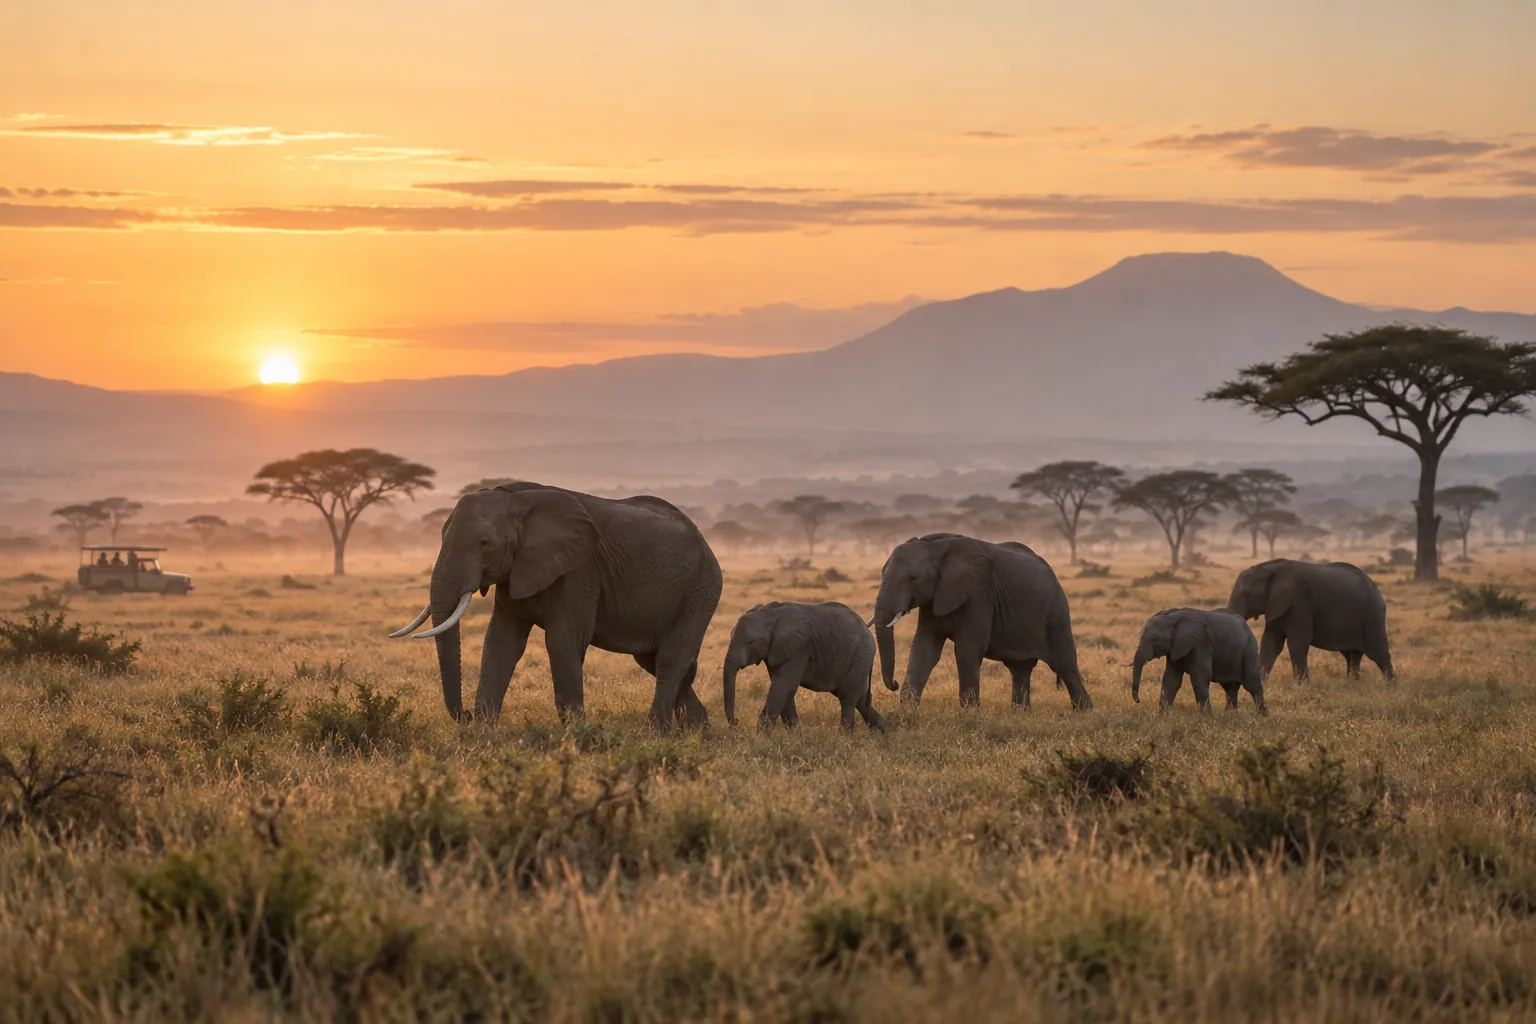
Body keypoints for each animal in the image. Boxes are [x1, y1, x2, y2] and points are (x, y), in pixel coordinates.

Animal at [390, 482, 722, 729]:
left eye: (485, 544)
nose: (466, 717)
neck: (516, 500)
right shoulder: (517, 571)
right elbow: (500, 642)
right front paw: (482, 735)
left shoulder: (579, 571)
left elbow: (563, 641)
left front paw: (577, 737)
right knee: (653, 660)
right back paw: (697, 731)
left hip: (701, 590)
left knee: (669, 659)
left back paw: (656, 733)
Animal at [722, 601, 884, 733]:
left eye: (752, 642)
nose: (735, 721)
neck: (769, 613)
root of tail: (867, 629)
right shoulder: (778, 650)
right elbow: (785, 691)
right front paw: (795, 739)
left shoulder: (799, 648)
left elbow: (782, 687)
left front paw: (762, 739)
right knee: (861, 699)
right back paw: (879, 736)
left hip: (861, 654)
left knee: (847, 698)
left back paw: (844, 738)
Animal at [871, 533, 1092, 710]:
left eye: (912, 578)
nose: (894, 683)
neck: (935, 546)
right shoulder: (935, 599)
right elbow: (924, 649)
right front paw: (907, 713)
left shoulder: (978, 595)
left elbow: (967, 650)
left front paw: (969, 716)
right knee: (1020, 669)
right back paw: (1020, 715)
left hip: (1056, 613)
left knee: (1065, 665)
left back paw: (1084, 713)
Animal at [1131, 607, 1269, 715]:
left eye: (1155, 639)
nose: (1138, 701)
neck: (1173, 617)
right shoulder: (1174, 648)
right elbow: (1171, 680)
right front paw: (1161, 716)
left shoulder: (1201, 643)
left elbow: (1199, 677)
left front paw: (1206, 718)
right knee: (1229, 687)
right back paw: (1229, 717)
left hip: (1249, 649)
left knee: (1252, 684)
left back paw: (1262, 717)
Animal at [1227, 558, 1394, 683]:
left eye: (1247, 594)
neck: (1269, 569)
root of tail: (1376, 589)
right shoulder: (1275, 606)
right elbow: (1271, 644)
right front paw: (1262, 682)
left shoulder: (1300, 602)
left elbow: (1297, 643)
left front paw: (1301, 686)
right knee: (1352, 656)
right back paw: (1352, 684)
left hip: (1372, 616)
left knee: (1379, 654)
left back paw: (1391, 688)